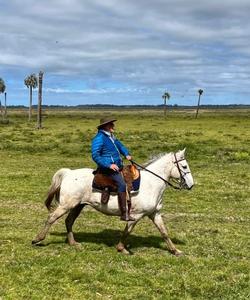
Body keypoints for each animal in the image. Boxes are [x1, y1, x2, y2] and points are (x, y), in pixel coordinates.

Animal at [32, 149, 194, 256]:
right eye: (184, 166)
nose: (191, 185)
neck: (151, 184)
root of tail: (69, 173)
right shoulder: (136, 215)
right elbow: (127, 232)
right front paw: (122, 248)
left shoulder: (155, 213)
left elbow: (164, 232)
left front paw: (175, 250)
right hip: (67, 205)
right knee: (51, 218)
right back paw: (37, 239)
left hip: (78, 206)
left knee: (68, 221)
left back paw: (73, 243)